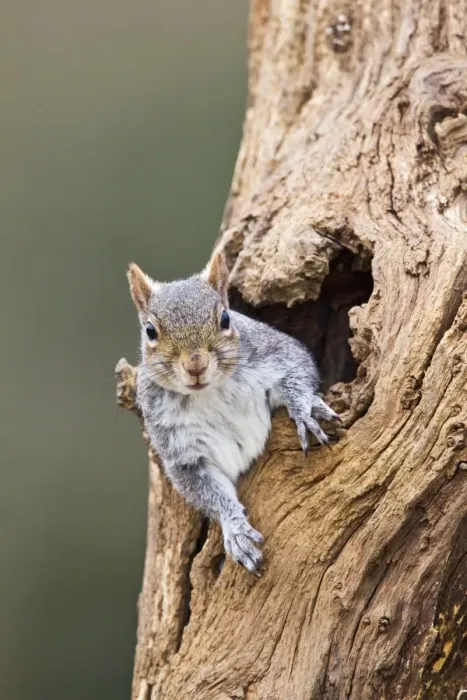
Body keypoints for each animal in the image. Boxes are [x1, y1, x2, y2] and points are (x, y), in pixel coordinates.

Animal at [127, 252, 341, 574]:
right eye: (150, 331)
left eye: (225, 319)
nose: (195, 364)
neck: (207, 393)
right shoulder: (181, 452)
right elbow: (210, 493)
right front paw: (237, 531)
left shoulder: (276, 353)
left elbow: (298, 370)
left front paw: (303, 409)